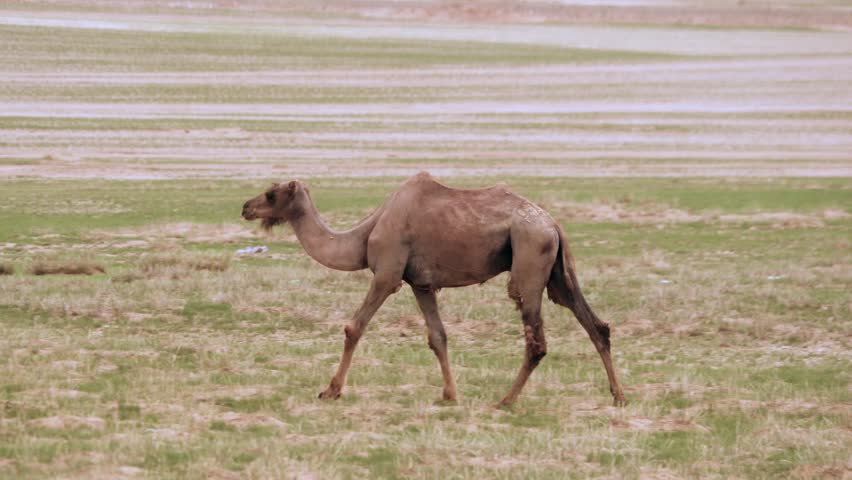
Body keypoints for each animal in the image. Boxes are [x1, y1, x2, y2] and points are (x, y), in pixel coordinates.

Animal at [242, 172, 625, 406]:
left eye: (271, 193)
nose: (246, 206)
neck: (365, 234)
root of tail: (554, 224)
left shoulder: (387, 273)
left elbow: (354, 327)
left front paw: (330, 390)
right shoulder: (422, 284)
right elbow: (437, 337)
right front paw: (449, 394)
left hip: (530, 255)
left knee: (536, 340)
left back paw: (505, 400)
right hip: (557, 271)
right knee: (596, 325)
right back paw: (618, 395)